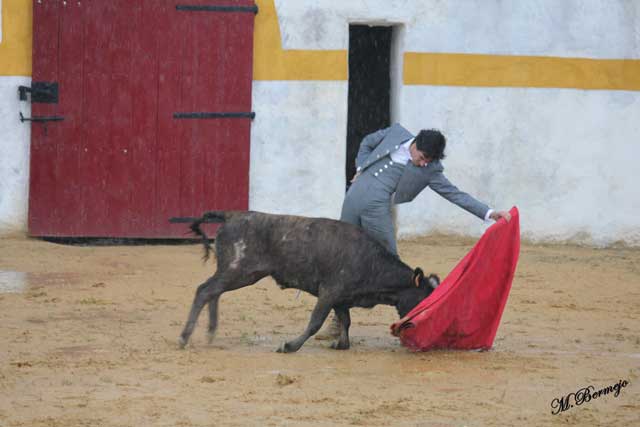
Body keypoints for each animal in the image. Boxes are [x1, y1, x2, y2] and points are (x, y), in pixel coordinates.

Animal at [175, 211, 440, 354]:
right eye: (423, 298)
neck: (370, 262)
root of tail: (232, 215)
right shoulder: (329, 293)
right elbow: (315, 322)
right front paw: (290, 346)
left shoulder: (341, 299)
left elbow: (345, 321)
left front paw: (340, 344)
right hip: (238, 271)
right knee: (205, 290)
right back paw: (185, 337)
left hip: (236, 272)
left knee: (213, 292)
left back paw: (210, 332)